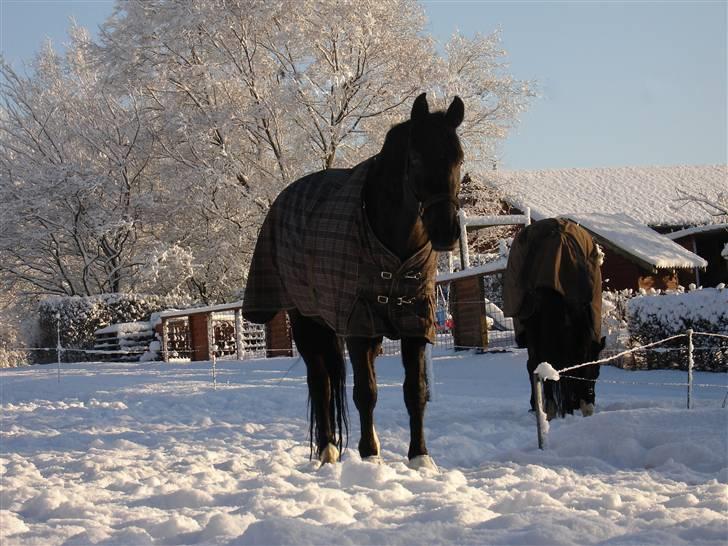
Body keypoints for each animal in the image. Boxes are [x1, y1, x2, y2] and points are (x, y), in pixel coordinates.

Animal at [242, 94, 464, 468]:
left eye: (459, 158)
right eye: (417, 158)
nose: (446, 231)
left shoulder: (415, 323)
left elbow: (415, 391)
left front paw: (419, 456)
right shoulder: (359, 324)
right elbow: (365, 392)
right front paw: (370, 455)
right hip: (307, 321)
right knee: (321, 382)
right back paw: (328, 450)